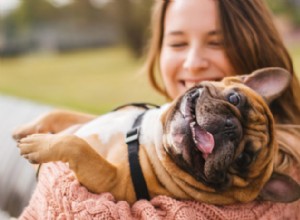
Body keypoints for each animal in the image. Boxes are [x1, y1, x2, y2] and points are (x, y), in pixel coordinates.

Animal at [13, 67, 300, 205]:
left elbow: (77, 145)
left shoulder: (111, 181)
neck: (152, 136)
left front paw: (38, 145)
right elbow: (62, 114)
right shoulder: (93, 119)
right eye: (234, 99)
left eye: (243, 158)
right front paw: (29, 128)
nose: (231, 127)